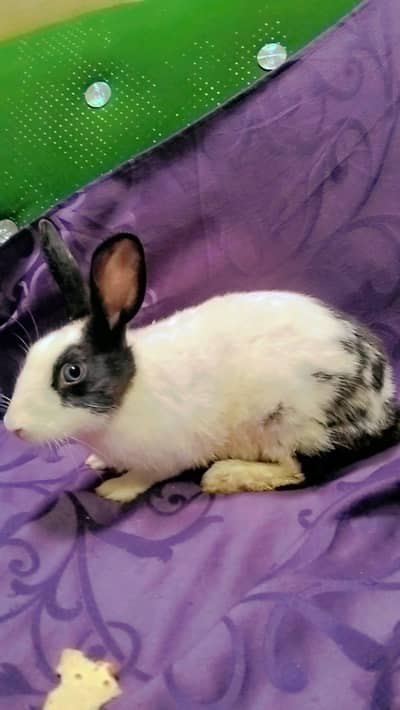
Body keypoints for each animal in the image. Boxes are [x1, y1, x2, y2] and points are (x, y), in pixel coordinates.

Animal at [3, 219, 400, 503]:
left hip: (293, 426)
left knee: (297, 470)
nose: (12, 428)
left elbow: (146, 476)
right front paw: (98, 463)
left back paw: (224, 476)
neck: (129, 392)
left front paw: (115, 489)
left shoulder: (167, 455)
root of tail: (383, 407)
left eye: (72, 372)